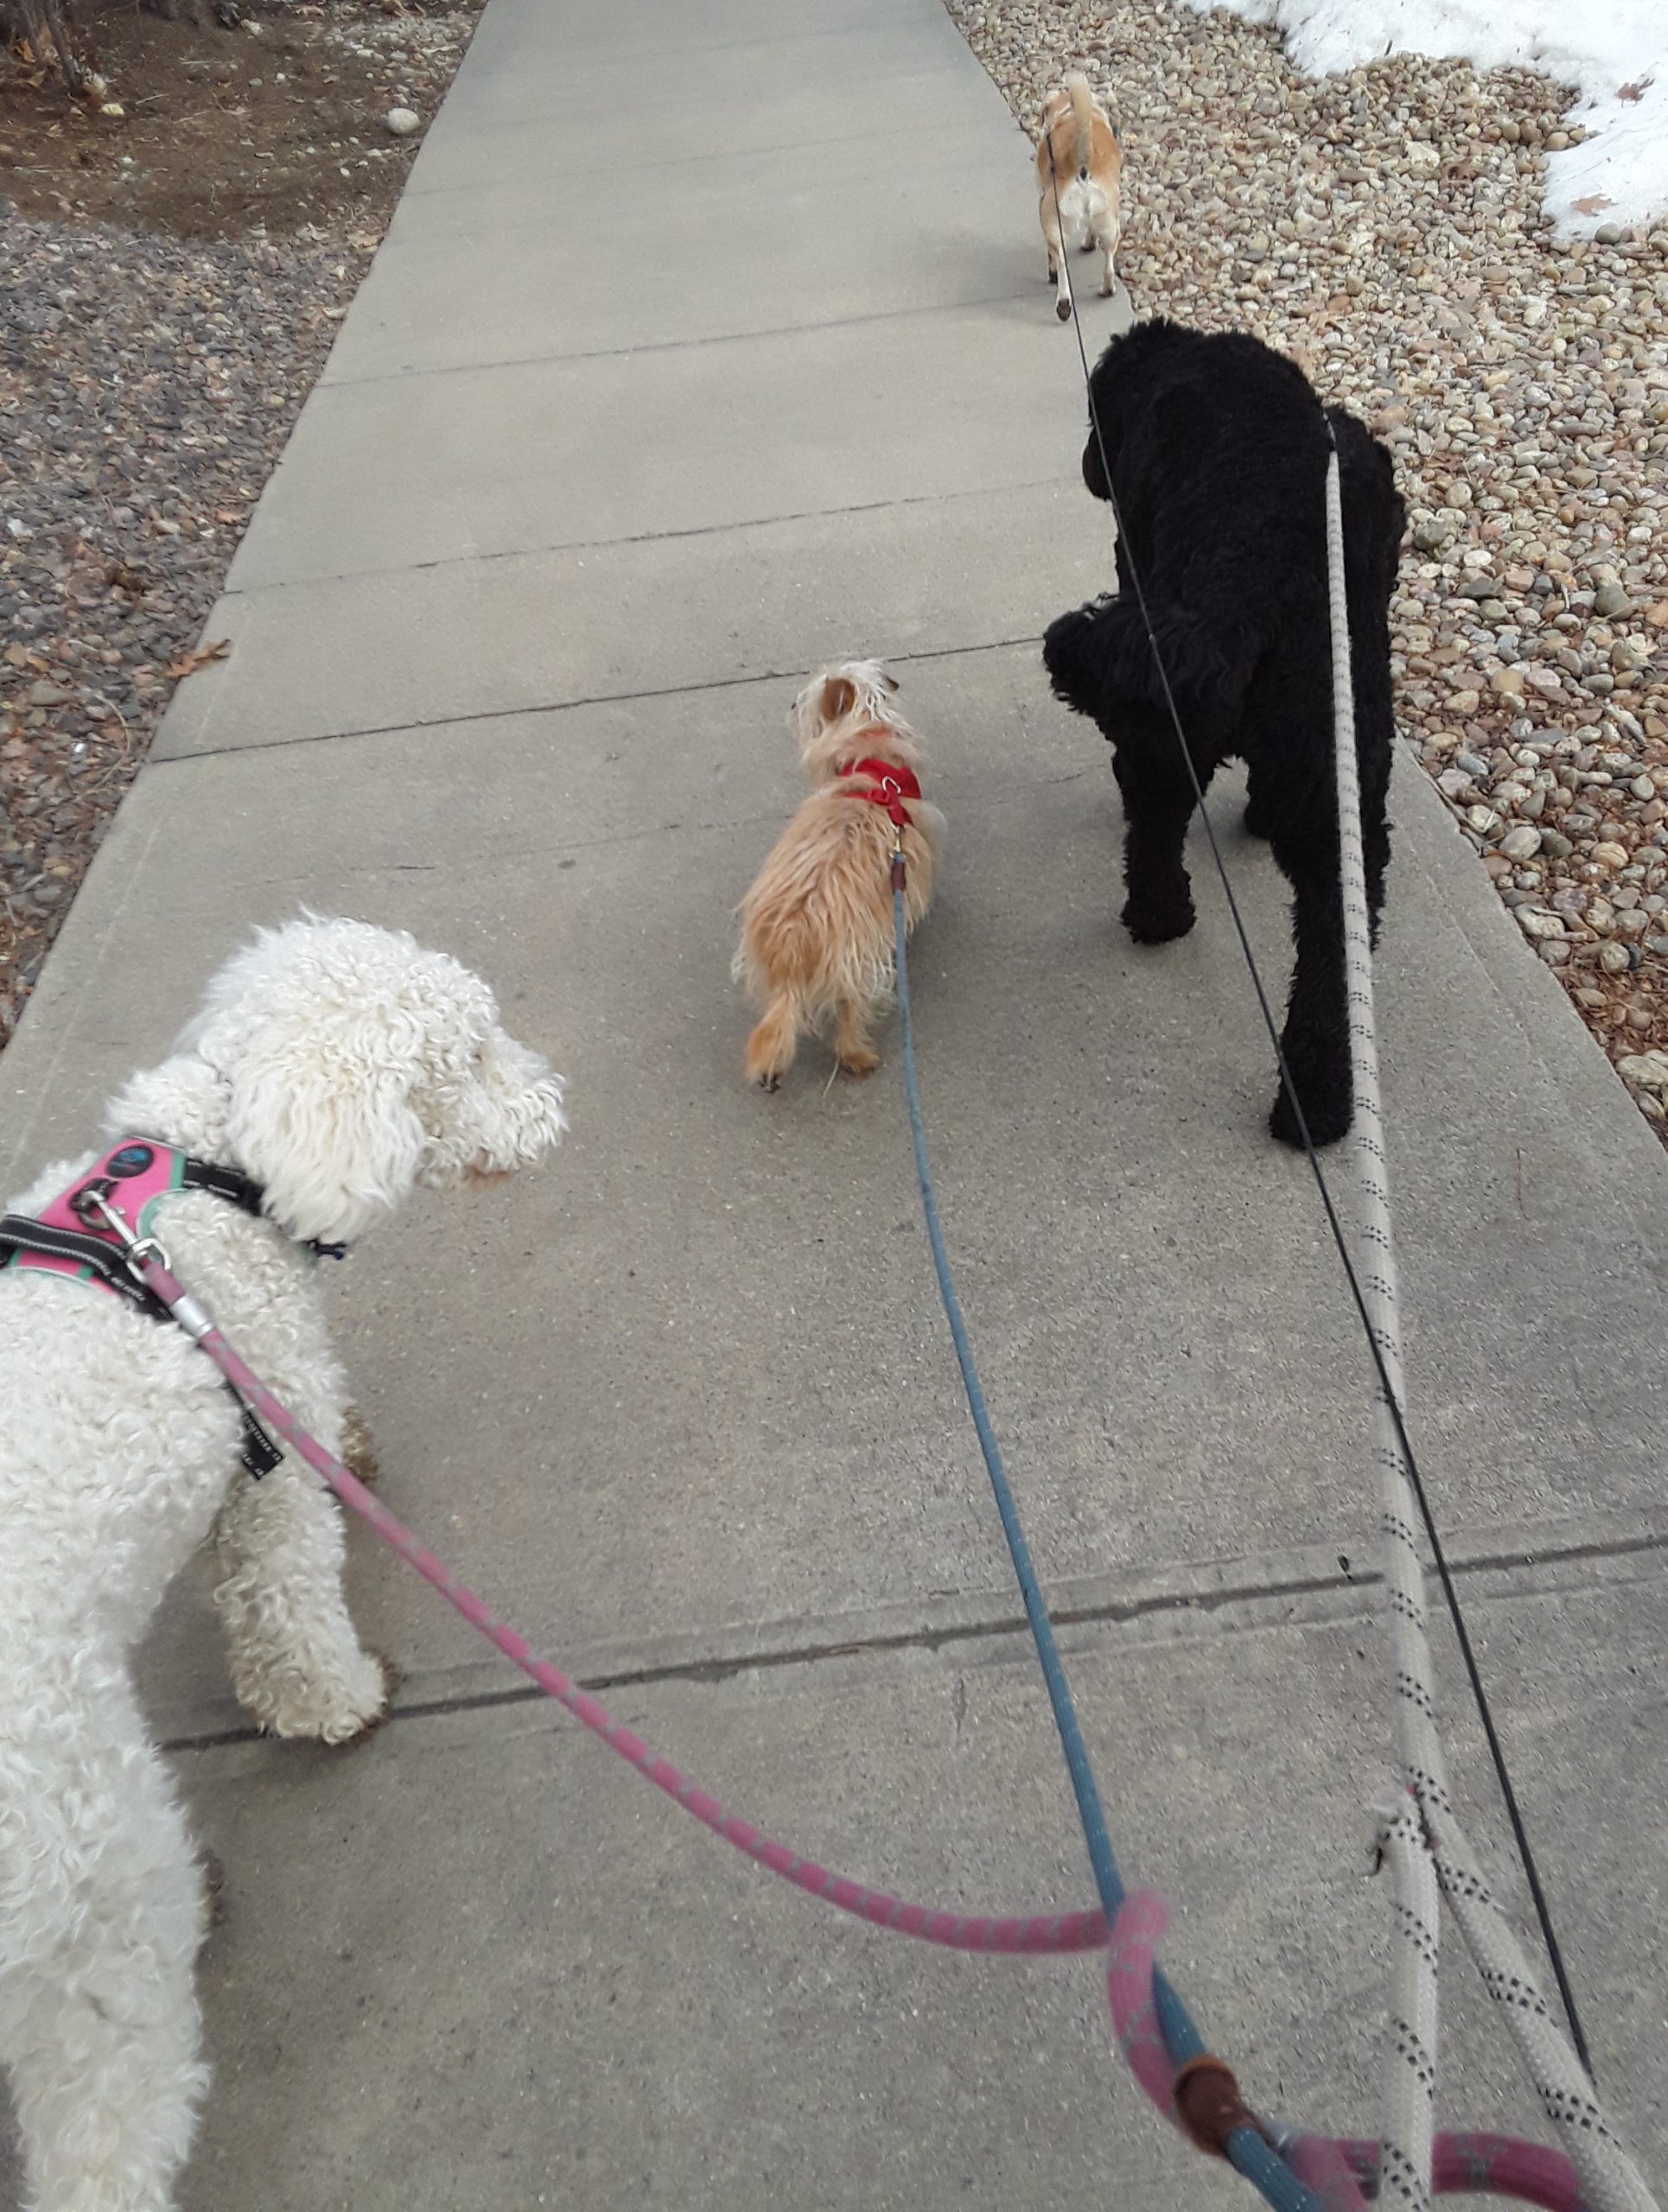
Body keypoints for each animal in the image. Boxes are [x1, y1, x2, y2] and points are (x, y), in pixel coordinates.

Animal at [0, 911, 566, 2212]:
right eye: (470, 1053)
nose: (557, 1104)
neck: (214, 1179)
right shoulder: (268, 1465)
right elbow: (291, 1607)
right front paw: (337, 1703)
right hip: (91, 1876)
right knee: (108, 2118)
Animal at [1044, 321, 1397, 1150]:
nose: (1089, 468)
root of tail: (1257, 580)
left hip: (1180, 733)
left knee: (1153, 825)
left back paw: (1161, 919)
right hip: (1332, 785)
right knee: (1332, 955)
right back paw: (1320, 1107)